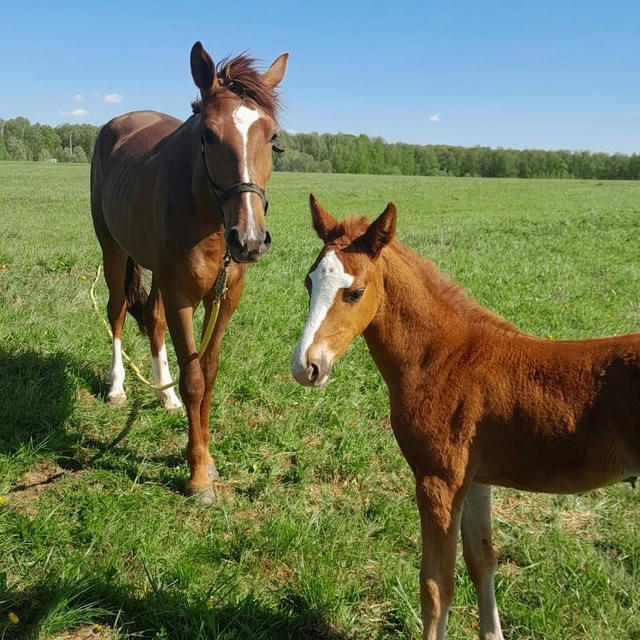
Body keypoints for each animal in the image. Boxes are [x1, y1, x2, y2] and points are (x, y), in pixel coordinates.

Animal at [89, 42, 288, 502]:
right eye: (208, 135)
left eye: (272, 138)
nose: (250, 239)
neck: (209, 217)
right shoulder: (181, 295)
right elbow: (194, 379)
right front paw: (197, 473)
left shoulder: (226, 296)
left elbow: (208, 374)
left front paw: (206, 456)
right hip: (113, 250)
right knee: (116, 313)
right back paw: (117, 387)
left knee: (154, 321)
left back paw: (164, 396)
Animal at [292, 196, 640, 640]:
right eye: (309, 282)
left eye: (354, 293)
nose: (305, 367)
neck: (443, 358)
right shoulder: (475, 480)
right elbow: (482, 562)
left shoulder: (438, 480)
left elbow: (437, 586)